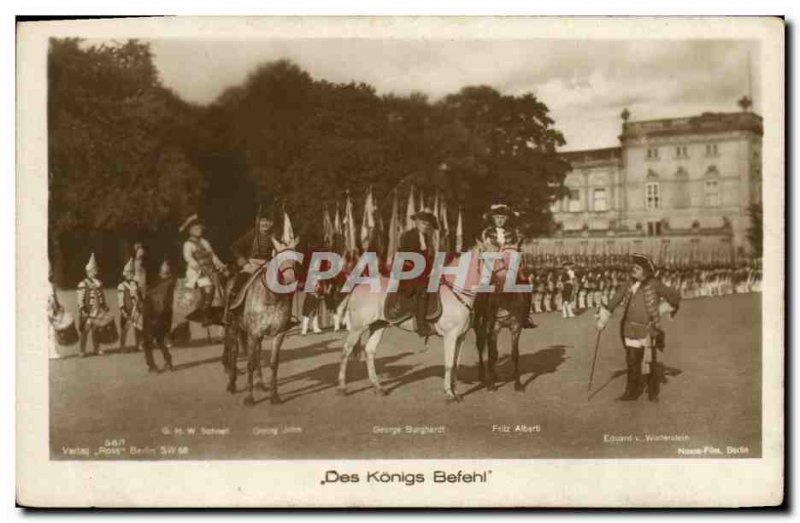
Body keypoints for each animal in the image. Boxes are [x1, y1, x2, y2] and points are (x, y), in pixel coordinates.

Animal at [222, 252, 300, 408]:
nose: (290, 278)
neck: (271, 297)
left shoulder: (278, 335)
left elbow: (273, 364)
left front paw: (274, 396)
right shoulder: (253, 334)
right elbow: (250, 364)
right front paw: (249, 398)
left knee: (257, 354)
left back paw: (260, 384)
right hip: (233, 328)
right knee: (234, 352)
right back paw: (232, 384)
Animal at [336, 248, 482, 404]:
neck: (455, 292)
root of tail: (358, 286)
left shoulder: (461, 337)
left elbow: (456, 364)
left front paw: (456, 393)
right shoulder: (450, 336)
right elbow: (449, 364)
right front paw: (449, 393)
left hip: (378, 326)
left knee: (369, 351)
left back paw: (378, 387)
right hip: (358, 327)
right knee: (345, 352)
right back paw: (342, 388)